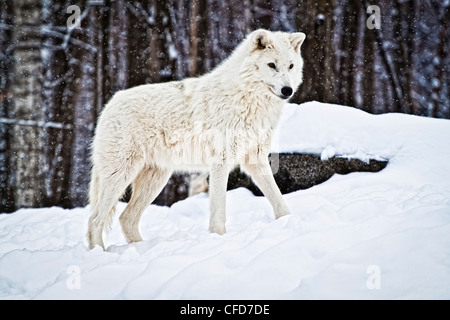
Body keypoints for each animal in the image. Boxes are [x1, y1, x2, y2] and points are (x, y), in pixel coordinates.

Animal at [88, 28, 306, 249]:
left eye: (290, 66)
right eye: (271, 65)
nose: (287, 90)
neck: (248, 99)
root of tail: (109, 104)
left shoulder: (256, 159)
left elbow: (278, 198)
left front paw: (289, 221)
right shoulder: (220, 163)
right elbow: (218, 209)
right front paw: (218, 237)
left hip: (156, 179)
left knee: (126, 218)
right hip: (121, 175)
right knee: (95, 219)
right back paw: (99, 251)